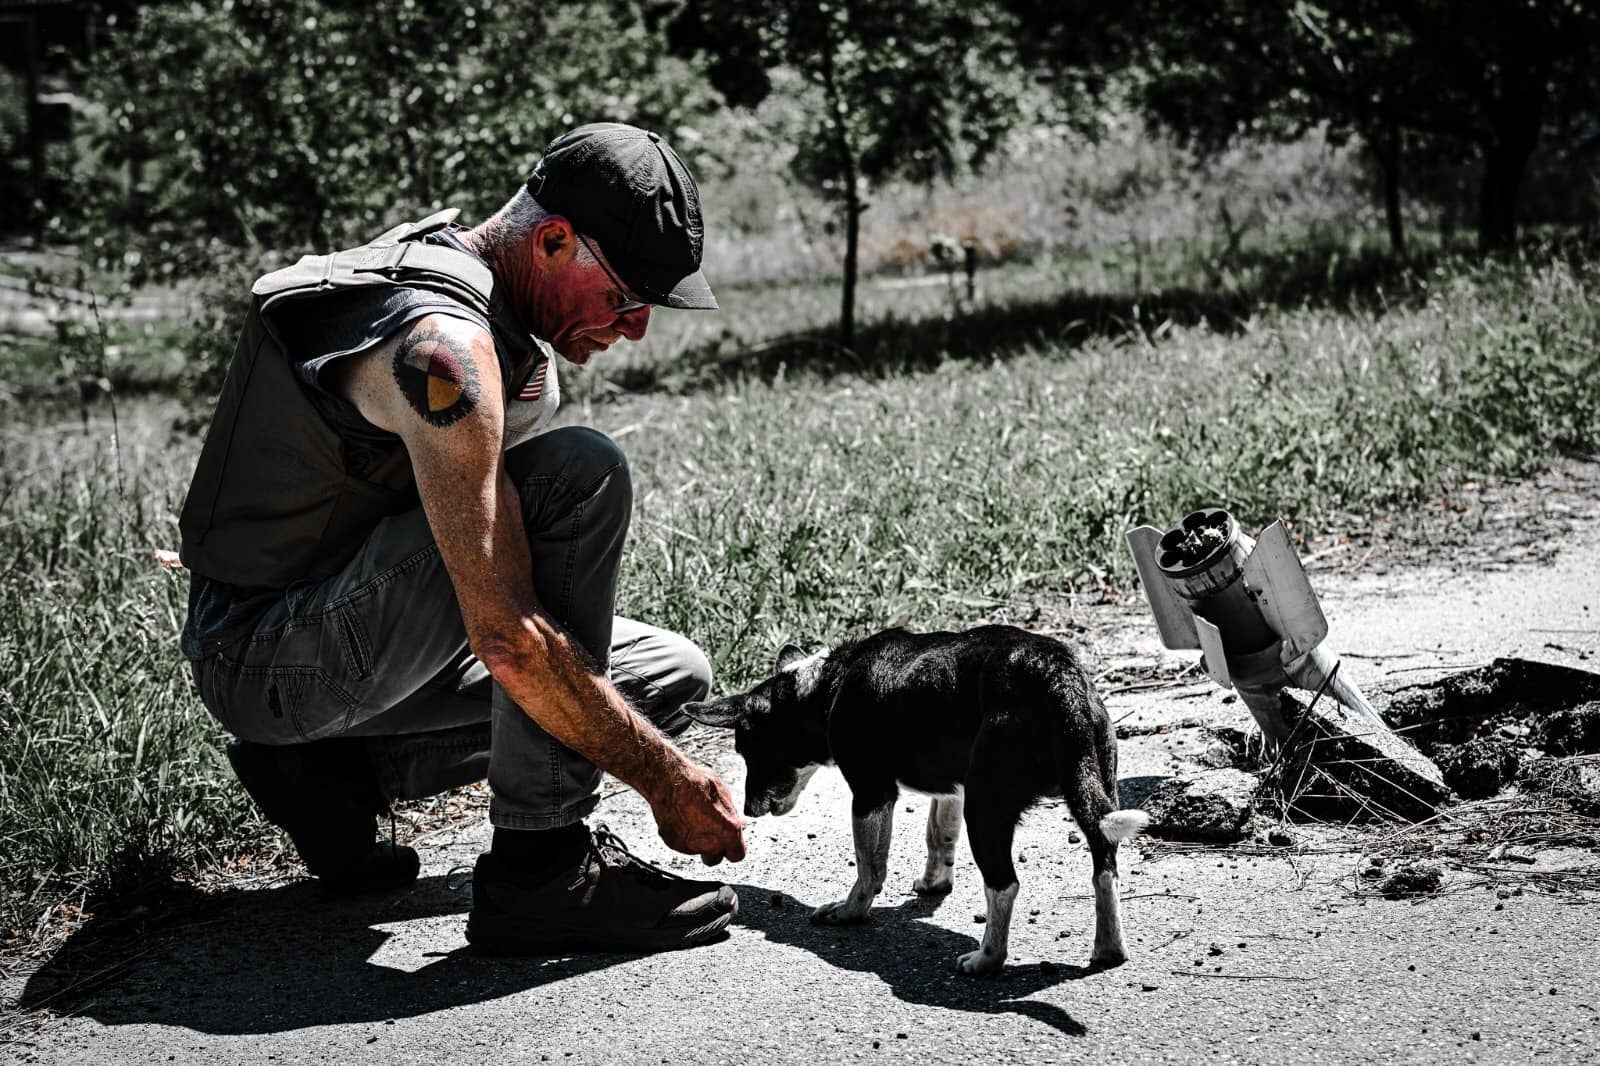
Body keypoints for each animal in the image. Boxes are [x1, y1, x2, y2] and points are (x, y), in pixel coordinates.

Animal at [681, 624, 1145, 973]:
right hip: (1094, 790)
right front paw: (934, 884)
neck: (826, 686)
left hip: (986, 807)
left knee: (1004, 885)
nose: (747, 809)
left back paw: (986, 959)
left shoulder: (872, 793)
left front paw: (849, 912)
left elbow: (869, 866)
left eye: (749, 751)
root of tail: (1054, 674)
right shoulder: (951, 788)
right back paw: (1108, 949)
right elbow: (938, 835)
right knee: (1104, 867)